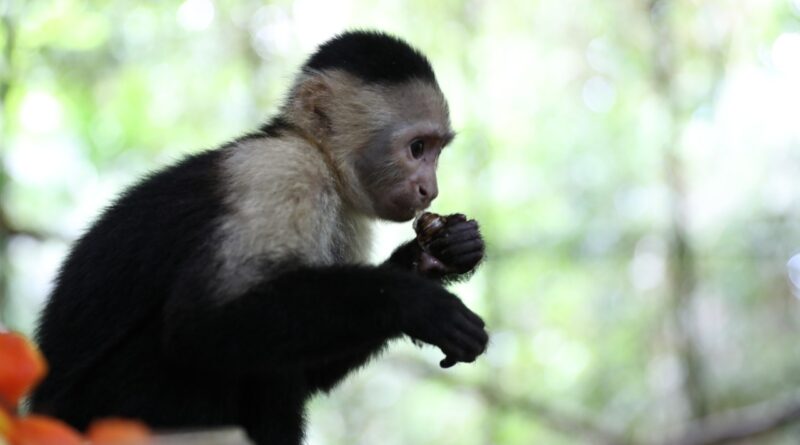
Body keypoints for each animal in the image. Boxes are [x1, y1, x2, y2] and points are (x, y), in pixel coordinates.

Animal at [31, 31, 488, 444]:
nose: (430, 189)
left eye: (437, 151)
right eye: (417, 148)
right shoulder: (281, 171)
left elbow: (312, 372)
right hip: (109, 412)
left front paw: (440, 255)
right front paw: (418, 302)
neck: (318, 155)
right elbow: (200, 327)